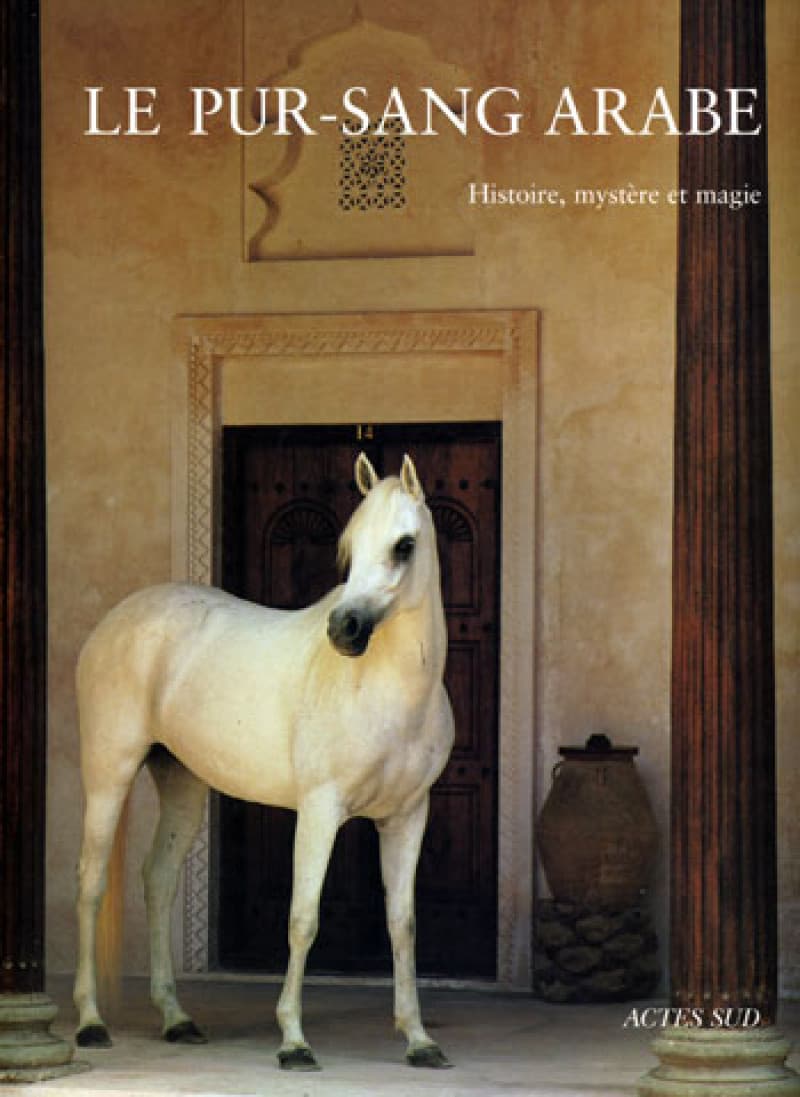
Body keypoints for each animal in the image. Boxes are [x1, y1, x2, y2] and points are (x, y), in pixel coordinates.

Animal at [72, 452, 455, 1071]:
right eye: (350, 545)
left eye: (404, 545)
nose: (344, 630)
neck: (384, 691)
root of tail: (116, 622)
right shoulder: (320, 811)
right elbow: (303, 918)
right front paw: (294, 1041)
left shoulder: (407, 816)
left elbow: (403, 925)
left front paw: (419, 1039)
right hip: (109, 773)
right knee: (90, 883)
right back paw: (89, 1022)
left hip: (182, 783)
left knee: (158, 880)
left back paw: (177, 1019)